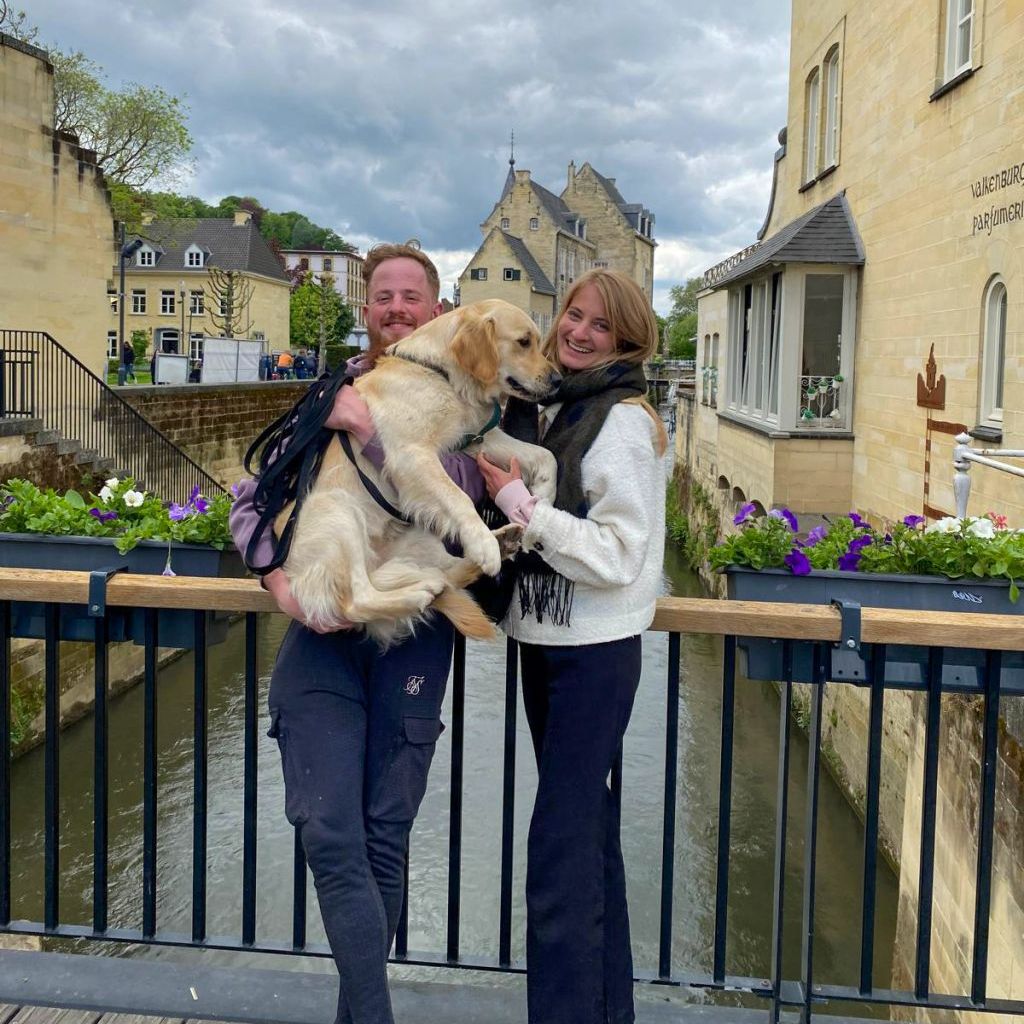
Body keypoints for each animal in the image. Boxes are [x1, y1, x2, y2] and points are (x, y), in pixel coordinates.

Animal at [280, 299, 560, 645]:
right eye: (523, 342)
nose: (558, 380)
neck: (444, 376)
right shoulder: (412, 454)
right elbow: (457, 497)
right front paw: (482, 542)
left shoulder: (479, 440)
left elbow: (545, 455)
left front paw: (543, 496)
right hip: (338, 513)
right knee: (356, 601)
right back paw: (421, 591)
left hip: (418, 536)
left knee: (446, 574)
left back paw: (499, 542)